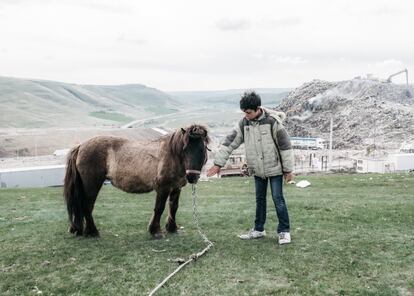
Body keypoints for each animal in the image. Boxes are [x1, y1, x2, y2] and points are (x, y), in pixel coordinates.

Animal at [64, 124, 210, 238]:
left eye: (202, 149)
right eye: (185, 149)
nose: (192, 177)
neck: (172, 155)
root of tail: (81, 146)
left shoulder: (176, 187)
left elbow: (173, 207)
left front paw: (172, 228)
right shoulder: (163, 187)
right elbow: (159, 208)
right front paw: (155, 230)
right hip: (92, 185)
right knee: (87, 206)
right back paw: (92, 231)